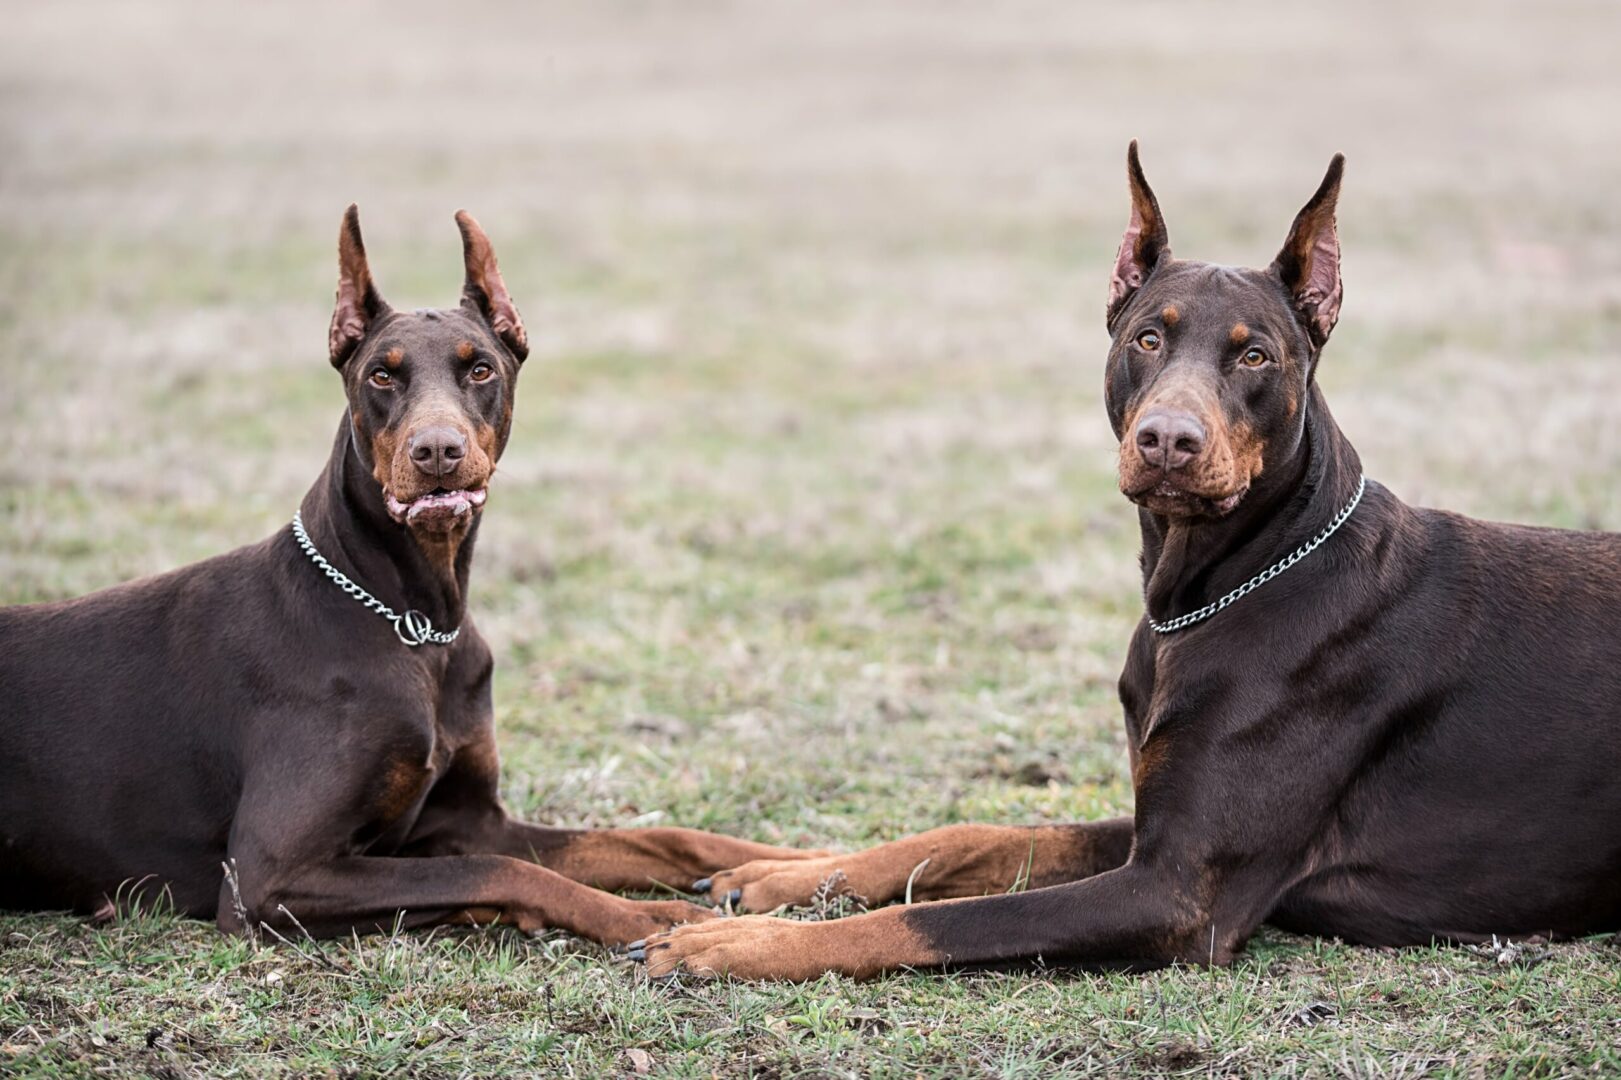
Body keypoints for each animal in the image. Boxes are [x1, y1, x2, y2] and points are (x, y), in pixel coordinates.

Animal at [3, 204, 823, 940]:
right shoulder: (268, 876)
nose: (436, 452)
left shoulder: (472, 818)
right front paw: (655, 916)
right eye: (381, 376)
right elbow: (501, 871)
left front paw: (795, 864)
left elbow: (663, 838)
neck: (415, 620)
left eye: (481, 367)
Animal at [628, 142, 1621, 972]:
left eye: (1253, 356)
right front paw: (781, 879)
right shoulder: (1148, 829)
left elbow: (938, 919)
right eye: (1147, 337)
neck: (1226, 586)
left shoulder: (1179, 892)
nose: (1168, 440)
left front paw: (734, 943)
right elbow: (965, 838)